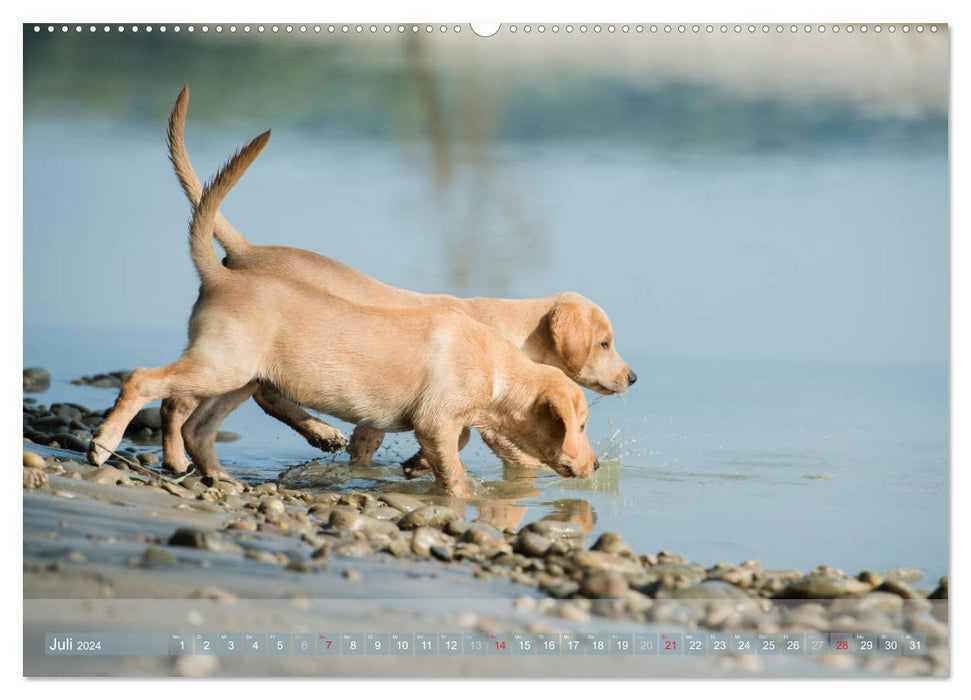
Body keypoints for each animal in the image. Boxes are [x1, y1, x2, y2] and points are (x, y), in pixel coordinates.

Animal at [87, 127, 600, 498]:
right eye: (579, 426)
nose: (595, 466)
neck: (499, 364)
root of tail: (223, 275)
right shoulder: (436, 423)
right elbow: (453, 469)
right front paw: (466, 495)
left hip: (238, 377)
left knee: (198, 426)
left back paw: (220, 476)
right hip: (219, 365)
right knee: (143, 381)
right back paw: (104, 445)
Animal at [165, 85, 636, 474]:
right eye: (605, 343)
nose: (632, 378)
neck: (510, 332)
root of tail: (246, 251)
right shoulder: (482, 412)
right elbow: (491, 445)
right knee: (251, 396)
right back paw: (318, 431)